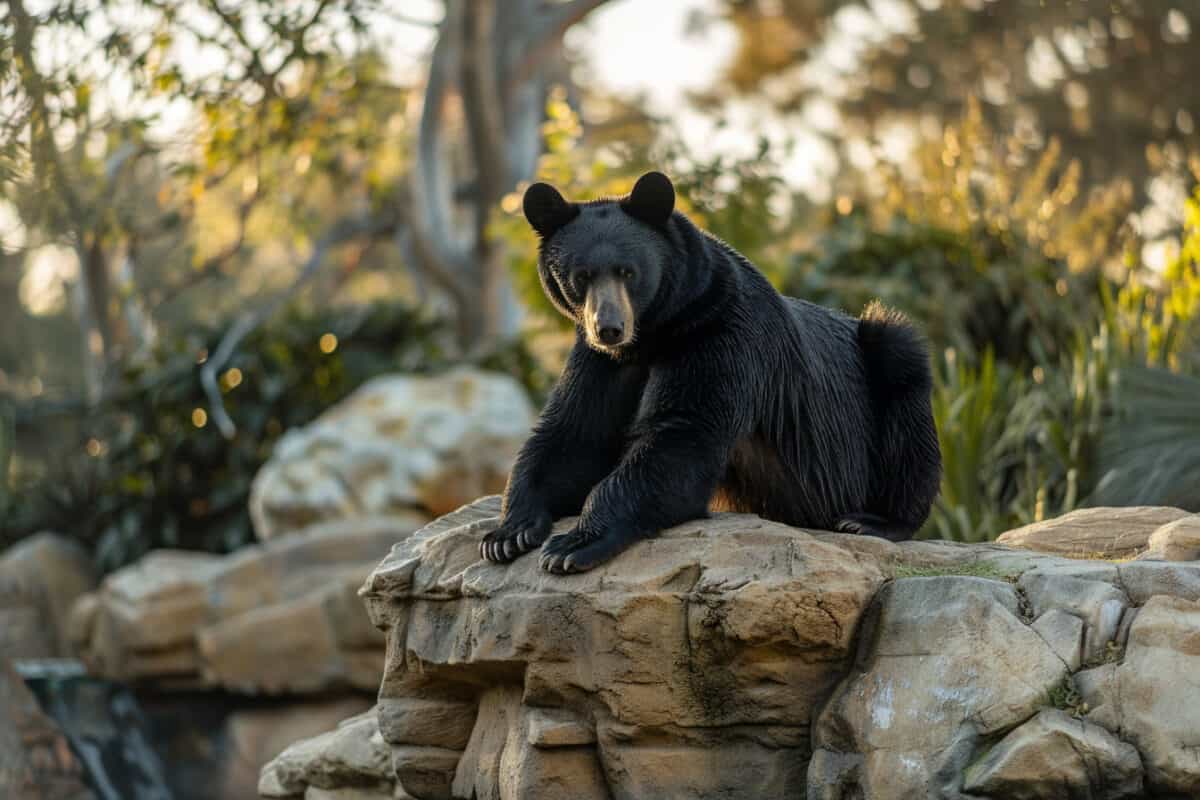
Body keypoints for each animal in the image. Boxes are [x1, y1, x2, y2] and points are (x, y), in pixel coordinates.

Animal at [480, 171, 942, 574]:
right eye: (581, 276)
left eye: (628, 271)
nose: (609, 328)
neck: (658, 331)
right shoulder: (601, 361)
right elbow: (575, 432)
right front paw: (507, 534)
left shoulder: (719, 334)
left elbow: (682, 436)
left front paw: (572, 544)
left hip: (881, 370)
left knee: (907, 420)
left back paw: (871, 521)